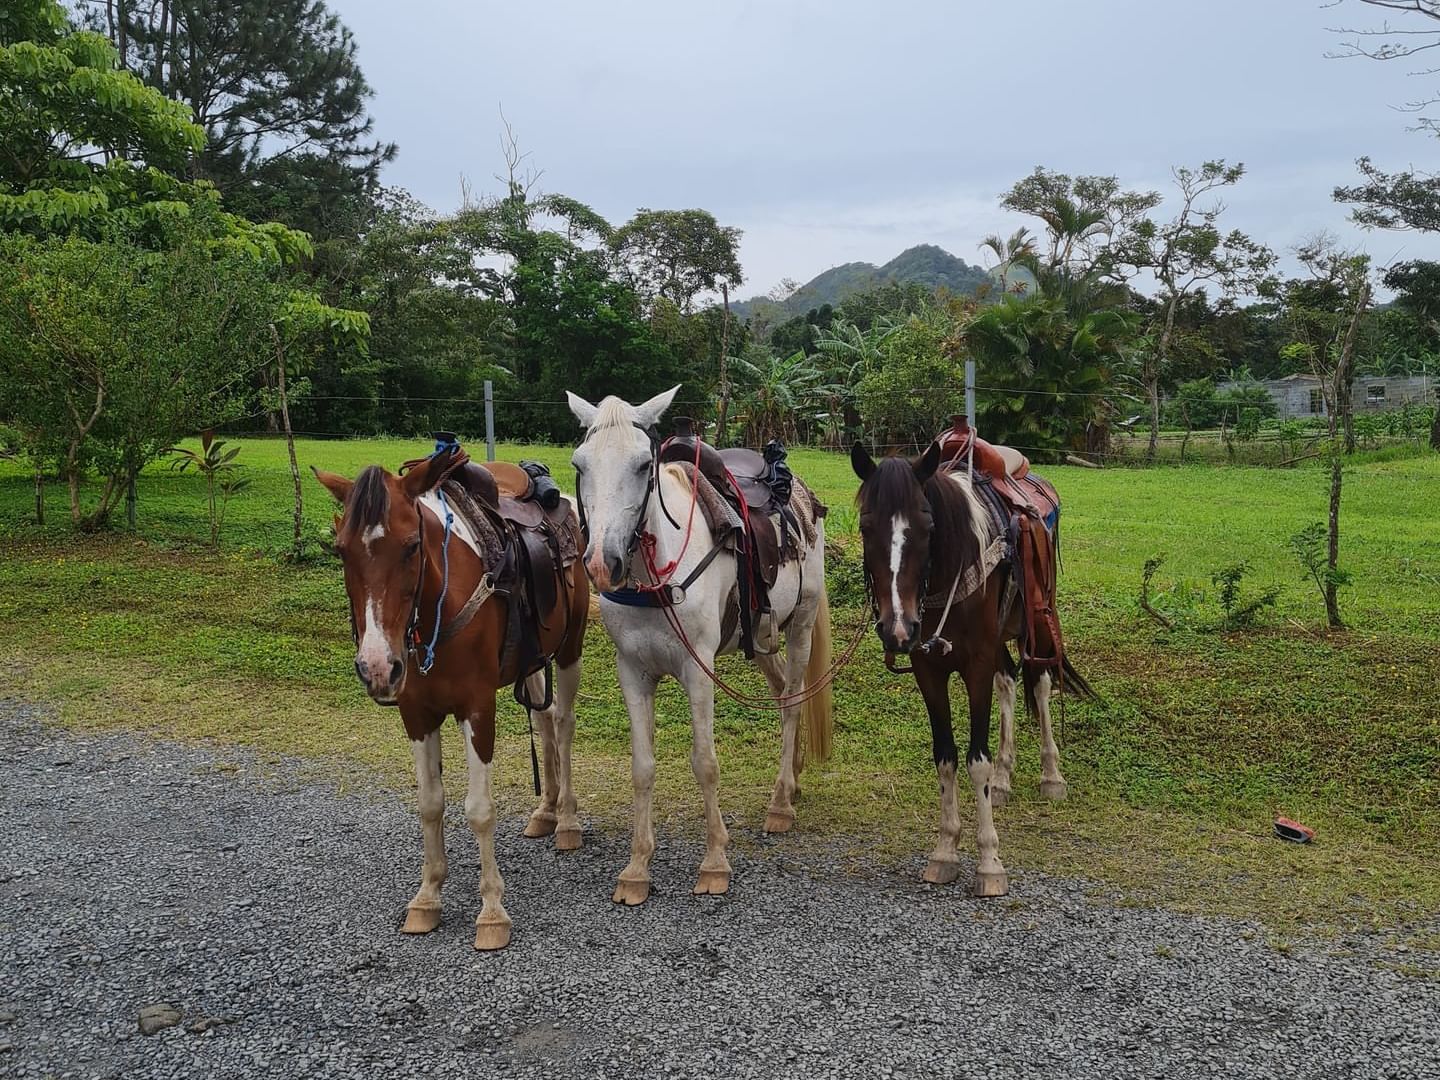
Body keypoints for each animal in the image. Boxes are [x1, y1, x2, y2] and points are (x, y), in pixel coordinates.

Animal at [312, 443, 587, 950]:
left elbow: (479, 810)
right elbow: (430, 804)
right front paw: (427, 898)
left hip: (569, 648)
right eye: (341, 550)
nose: (376, 666)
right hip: (532, 660)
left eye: (411, 546)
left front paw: (492, 911)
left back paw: (568, 822)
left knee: (563, 723)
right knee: (544, 719)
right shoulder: (416, 714)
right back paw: (546, 811)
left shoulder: (478, 708)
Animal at [564, 385, 835, 904]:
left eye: (642, 465)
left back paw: (780, 803)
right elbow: (642, 766)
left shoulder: (698, 670)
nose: (604, 563)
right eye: (580, 464)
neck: (655, 576)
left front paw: (714, 864)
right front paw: (636, 869)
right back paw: (791, 781)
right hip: (763, 637)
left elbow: (705, 762)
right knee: (779, 693)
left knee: (793, 702)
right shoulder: (632, 671)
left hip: (801, 626)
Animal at [852, 440, 1088, 898]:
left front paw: (989, 862)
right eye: (866, 527)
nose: (897, 628)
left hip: (1039, 619)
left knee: (1041, 682)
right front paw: (945, 852)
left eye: (927, 526)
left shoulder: (975, 665)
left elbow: (976, 759)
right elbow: (945, 757)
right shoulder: (928, 669)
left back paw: (1052, 776)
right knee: (1009, 679)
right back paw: (1003, 779)